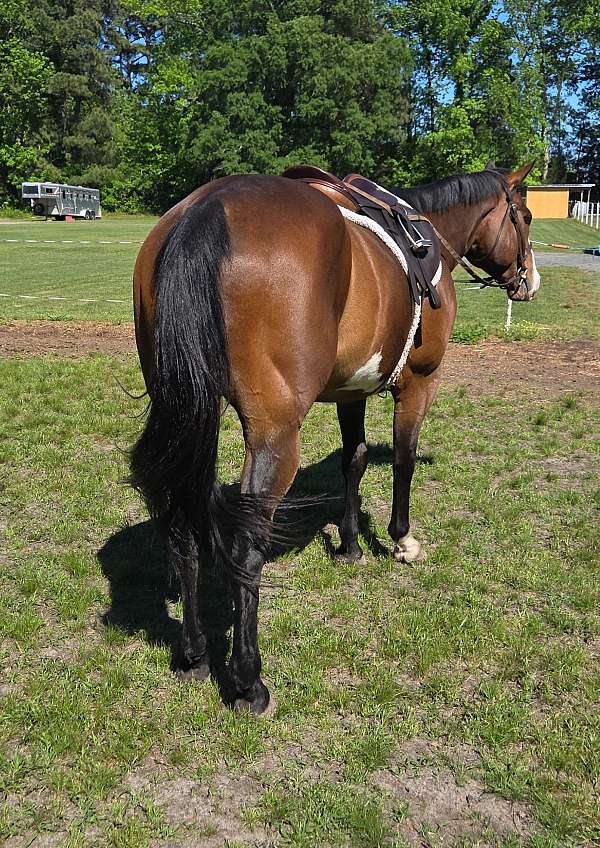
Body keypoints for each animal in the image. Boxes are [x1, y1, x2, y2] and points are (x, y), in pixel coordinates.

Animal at [130, 162, 540, 715]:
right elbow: (404, 459)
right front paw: (401, 539)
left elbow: (356, 459)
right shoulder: (419, 381)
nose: (530, 280)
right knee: (246, 546)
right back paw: (249, 680)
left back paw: (193, 654)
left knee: (181, 528)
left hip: (185, 415)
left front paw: (348, 544)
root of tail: (206, 209)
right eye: (526, 216)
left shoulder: (352, 390)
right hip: (274, 434)